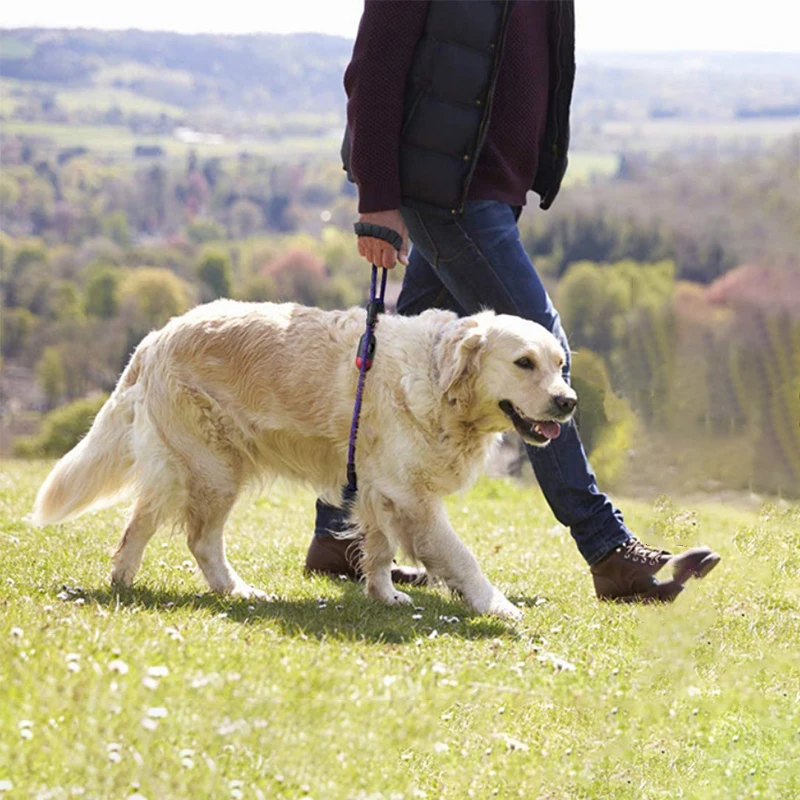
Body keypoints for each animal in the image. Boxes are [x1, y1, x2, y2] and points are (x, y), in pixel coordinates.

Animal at [32, 300, 576, 620]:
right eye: (523, 362)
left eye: (559, 365)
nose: (568, 402)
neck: (436, 377)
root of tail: (155, 337)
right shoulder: (411, 495)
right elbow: (461, 555)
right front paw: (497, 605)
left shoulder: (381, 490)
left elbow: (380, 549)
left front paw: (385, 595)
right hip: (212, 468)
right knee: (189, 537)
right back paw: (218, 589)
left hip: (192, 467)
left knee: (149, 525)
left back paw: (141, 582)